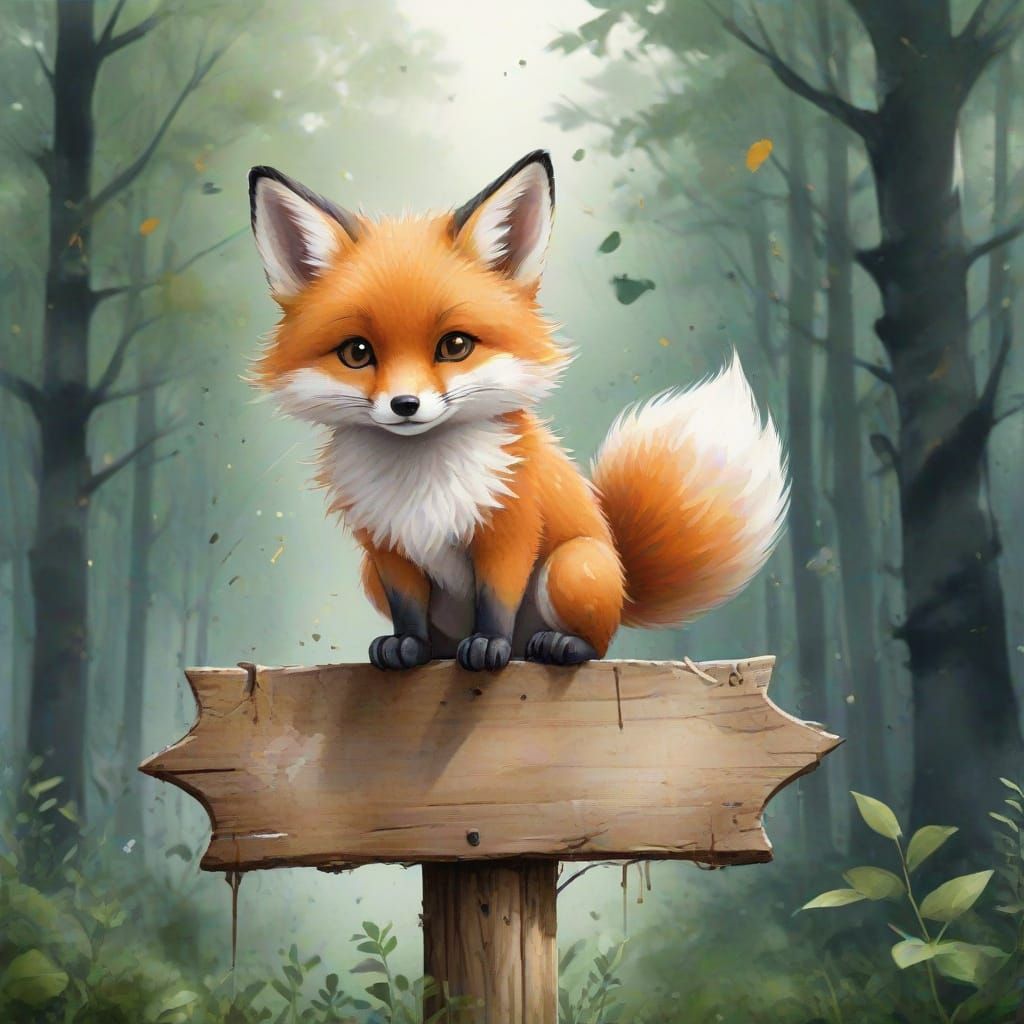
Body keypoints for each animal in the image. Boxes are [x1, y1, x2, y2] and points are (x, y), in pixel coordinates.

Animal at [246, 150, 789, 672]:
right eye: (357, 353)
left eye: (455, 346)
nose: (405, 405)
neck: (422, 482)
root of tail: (622, 579)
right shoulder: (386, 547)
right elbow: (407, 609)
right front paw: (407, 647)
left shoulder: (510, 529)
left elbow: (496, 602)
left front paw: (489, 646)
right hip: (373, 577)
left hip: (573, 567)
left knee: (593, 644)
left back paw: (557, 646)